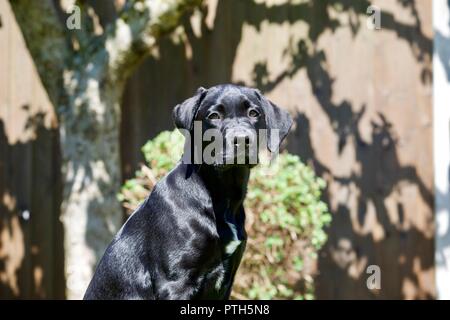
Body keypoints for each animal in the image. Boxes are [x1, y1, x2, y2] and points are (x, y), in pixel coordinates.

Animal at [84, 84, 292, 298]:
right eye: (214, 115)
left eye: (253, 113)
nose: (242, 140)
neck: (221, 197)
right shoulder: (176, 282)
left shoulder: (228, 279)